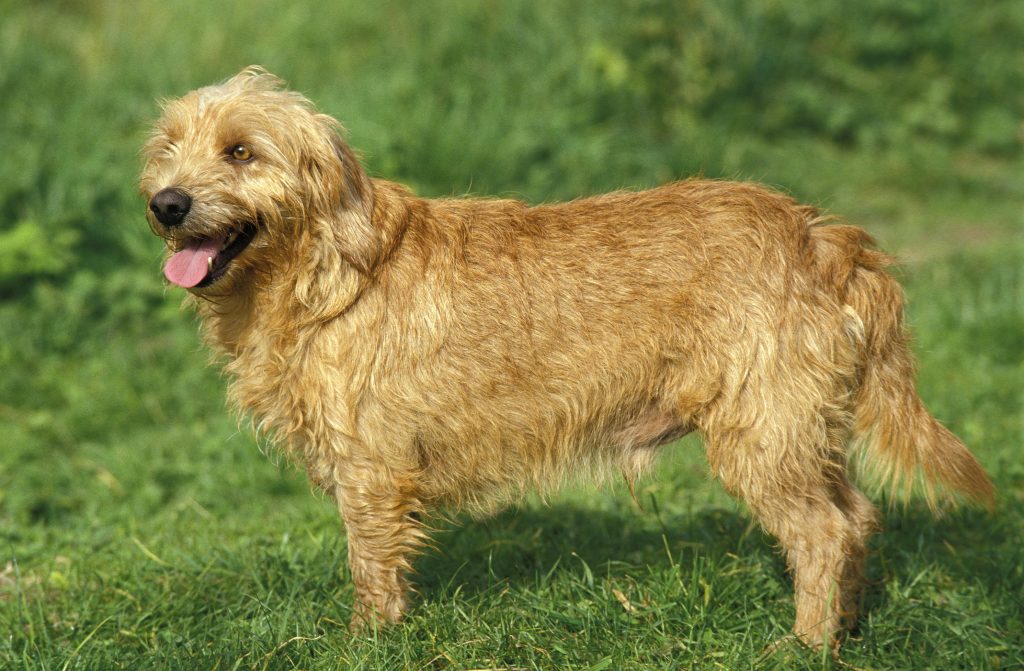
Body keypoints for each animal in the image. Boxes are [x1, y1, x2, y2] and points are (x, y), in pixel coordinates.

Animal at [138, 68, 991, 651]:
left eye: (241, 151)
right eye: (169, 148)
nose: (166, 203)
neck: (324, 272)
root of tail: (821, 235)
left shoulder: (371, 472)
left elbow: (370, 568)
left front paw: (364, 643)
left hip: (763, 436)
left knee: (823, 532)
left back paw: (804, 643)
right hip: (804, 431)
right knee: (858, 516)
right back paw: (845, 626)